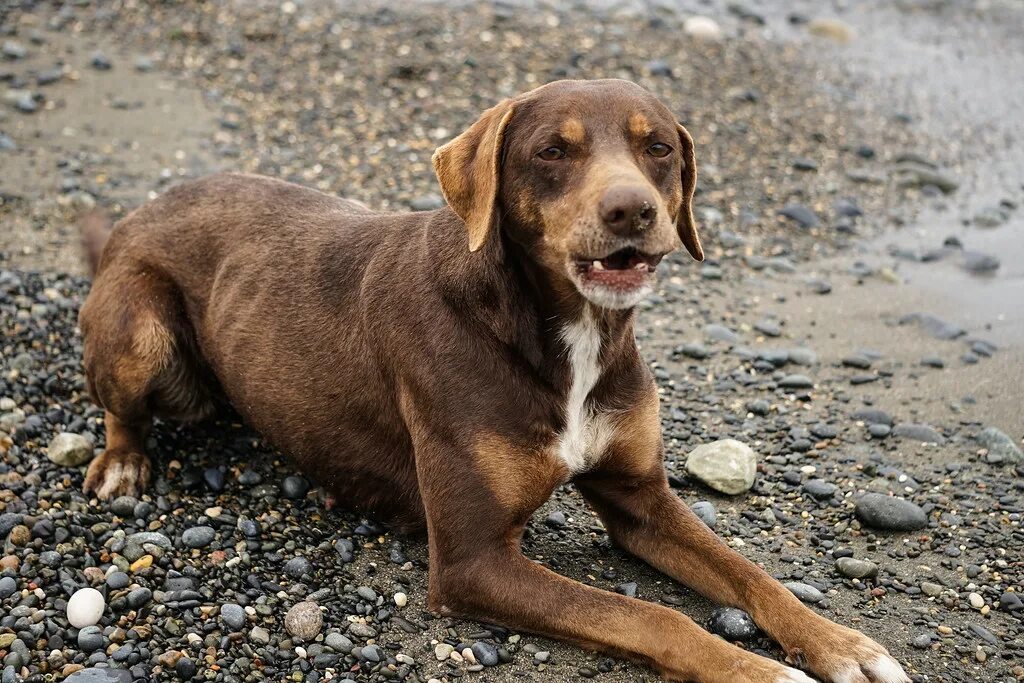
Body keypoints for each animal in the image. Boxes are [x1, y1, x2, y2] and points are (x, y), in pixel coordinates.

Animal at [79, 81, 913, 683]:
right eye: (551, 151)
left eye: (659, 148)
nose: (633, 209)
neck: (563, 333)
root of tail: (130, 216)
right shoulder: (473, 559)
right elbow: (651, 616)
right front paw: (760, 672)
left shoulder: (642, 500)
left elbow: (752, 574)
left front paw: (841, 643)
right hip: (139, 328)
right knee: (122, 405)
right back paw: (122, 461)